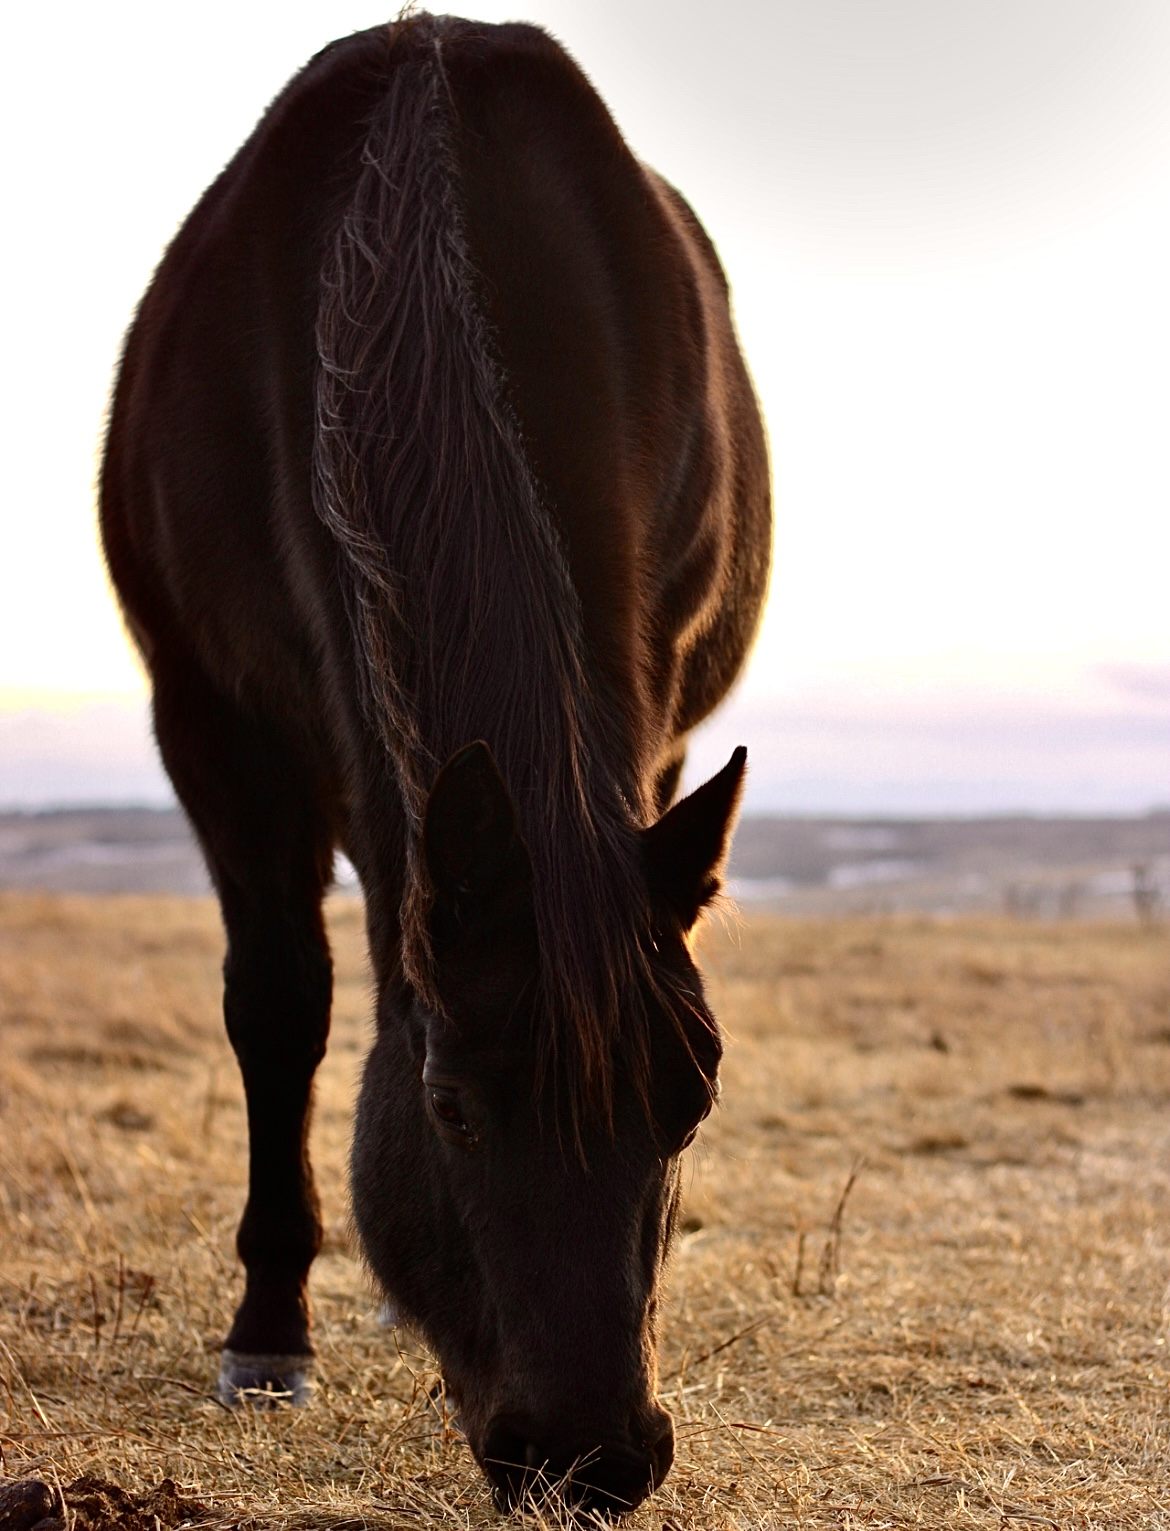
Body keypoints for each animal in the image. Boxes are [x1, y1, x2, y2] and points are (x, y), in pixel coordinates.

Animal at [100, 13, 770, 1517]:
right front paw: (268, 1333)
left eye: (692, 1098)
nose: (589, 1456)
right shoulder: (213, 726)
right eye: (452, 1106)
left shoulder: (652, 726)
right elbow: (279, 1007)